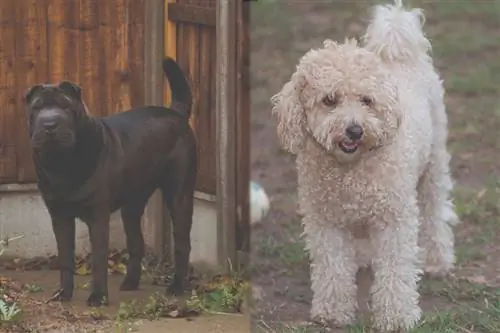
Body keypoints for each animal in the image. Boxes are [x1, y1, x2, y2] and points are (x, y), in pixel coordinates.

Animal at [23, 57, 198, 306]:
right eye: (37, 108)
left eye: (65, 106)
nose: (50, 124)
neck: (62, 163)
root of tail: (177, 113)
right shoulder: (59, 215)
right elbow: (65, 257)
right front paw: (64, 293)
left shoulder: (98, 216)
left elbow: (98, 259)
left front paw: (98, 296)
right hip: (132, 204)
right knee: (136, 243)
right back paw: (130, 283)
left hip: (179, 195)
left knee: (183, 243)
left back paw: (176, 287)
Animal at [272, 0, 458, 330]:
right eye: (329, 99)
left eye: (367, 100)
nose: (355, 130)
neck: (350, 171)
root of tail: (400, 53)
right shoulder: (326, 221)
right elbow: (333, 266)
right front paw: (333, 311)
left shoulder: (394, 217)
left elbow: (396, 270)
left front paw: (397, 316)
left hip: (433, 166)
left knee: (435, 213)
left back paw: (437, 260)